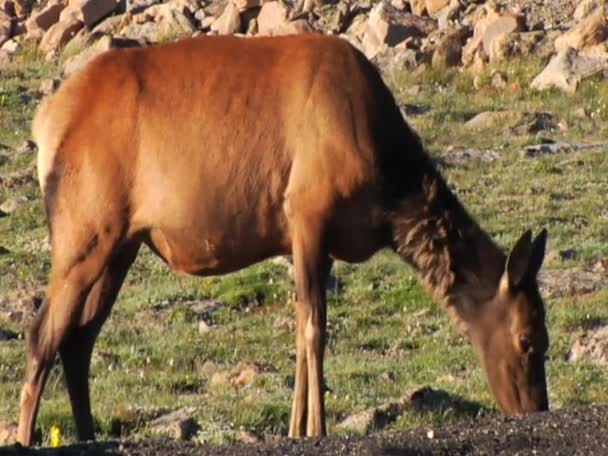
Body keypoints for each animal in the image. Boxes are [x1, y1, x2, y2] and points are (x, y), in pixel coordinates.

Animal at [20, 33, 552, 446]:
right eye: (528, 339)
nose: (535, 410)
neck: (389, 198)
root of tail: (45, 121)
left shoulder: (318, 241)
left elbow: (300, 333)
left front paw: (297, 427)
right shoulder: (307, 215)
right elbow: (315, 331)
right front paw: (317, 428)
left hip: (120, 246)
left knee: (79, 340)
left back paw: (88, 435)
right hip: (84, 231)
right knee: (43, 332)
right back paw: (26, 436)